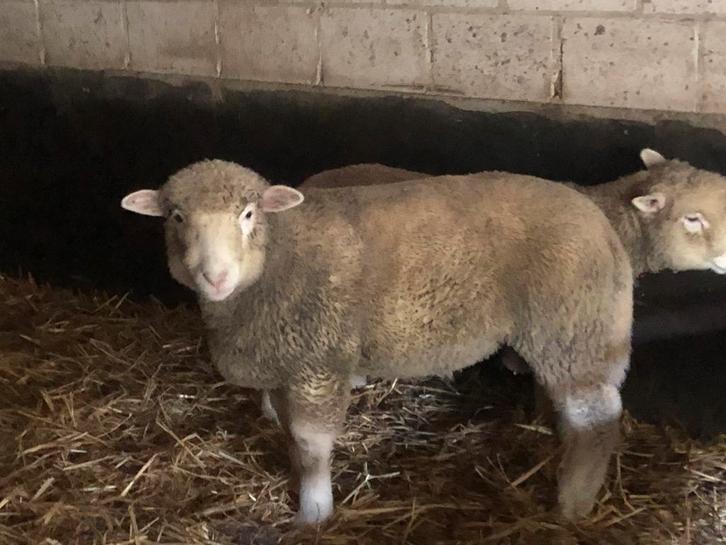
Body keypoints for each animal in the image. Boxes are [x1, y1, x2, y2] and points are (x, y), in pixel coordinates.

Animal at [121, 161, 633, 524]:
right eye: (176, 216)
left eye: (248, 214)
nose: (216, 277)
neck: (280, 253)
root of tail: (599, 222)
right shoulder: (288, 364)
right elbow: (287, 431)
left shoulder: (318, 361)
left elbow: (311, 445)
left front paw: (314, 512)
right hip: (574, 334)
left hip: (574, 326)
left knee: (597, 418)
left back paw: (572, 503)